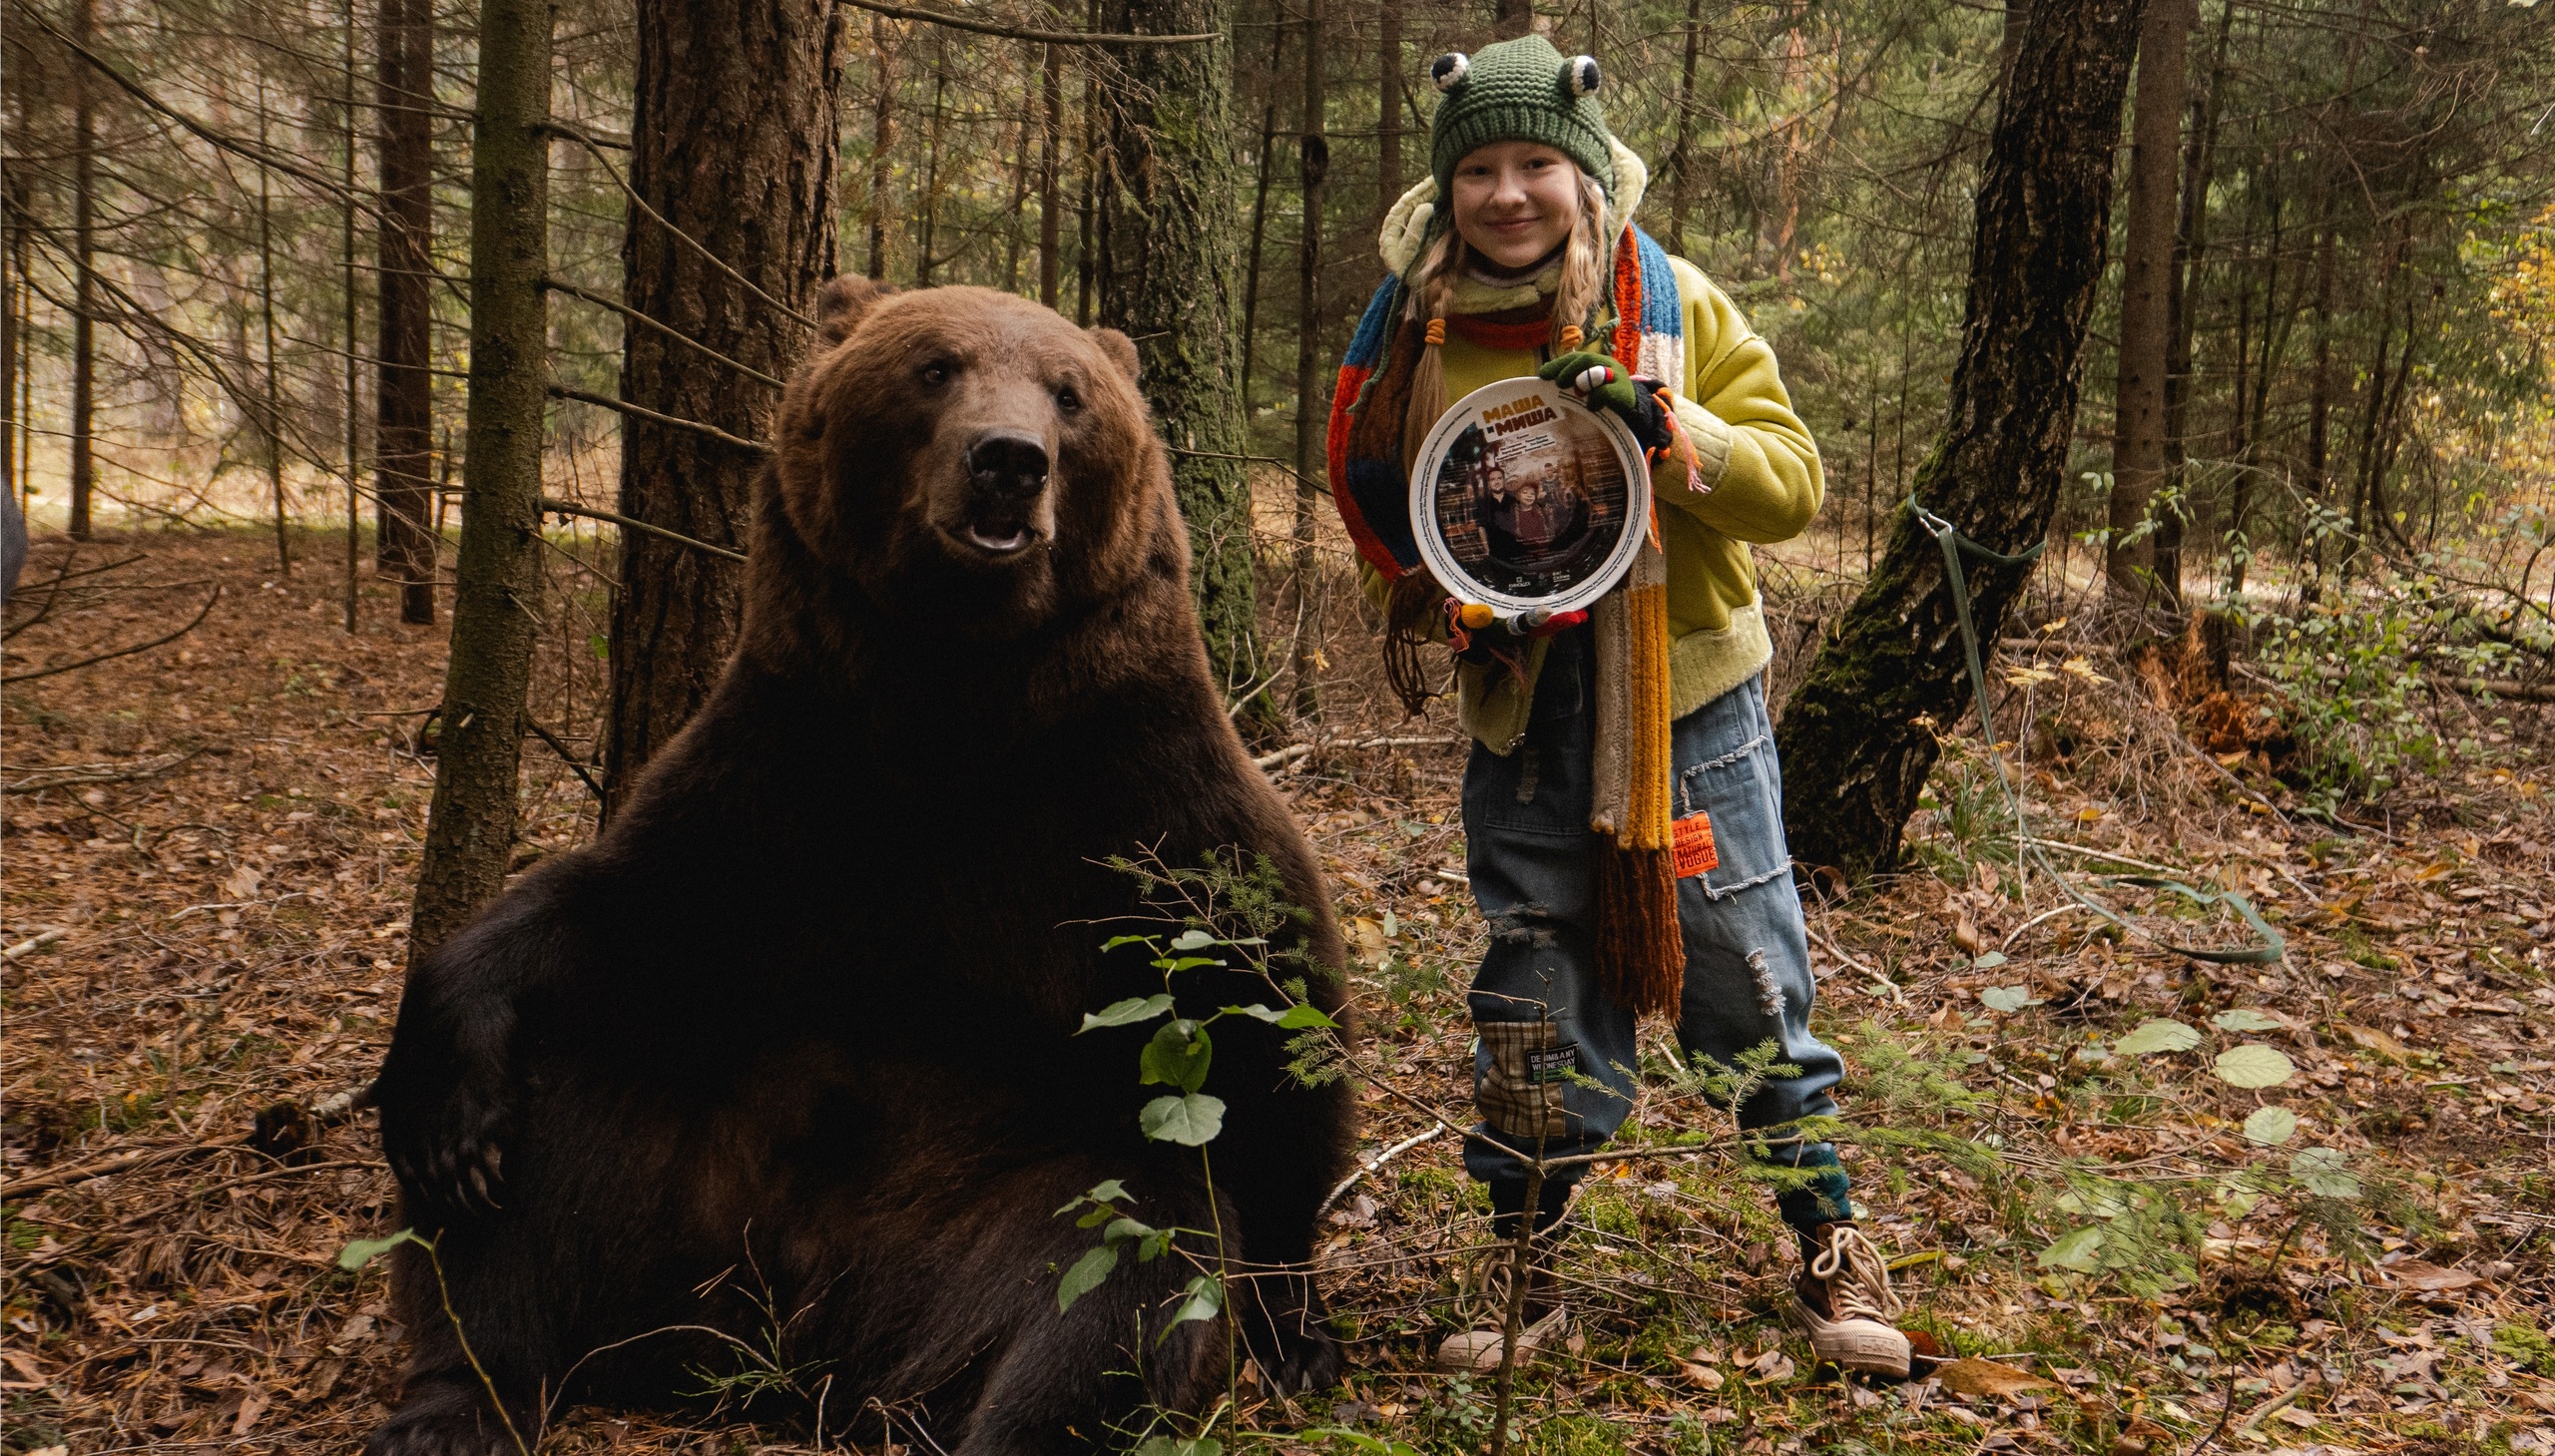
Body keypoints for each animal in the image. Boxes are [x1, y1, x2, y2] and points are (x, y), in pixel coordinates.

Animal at [365, 279, 1358, 1455]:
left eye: (1069, 393)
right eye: (934, 367)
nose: (1008, 460)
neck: (952, 695)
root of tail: (801, 1330)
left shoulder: (1136, 790)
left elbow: (1271, 1017)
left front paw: (1299, 1328)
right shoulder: (796, 766)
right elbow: (626, 902)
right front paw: (441, 1081)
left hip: (995, 1214)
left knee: (1126, 1266)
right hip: (671, 1167)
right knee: (533, 1146)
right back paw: (455, 1384)